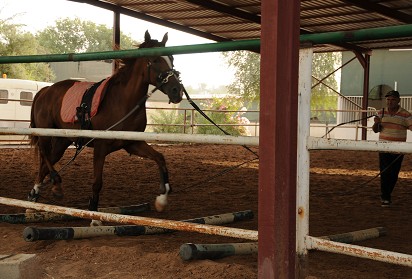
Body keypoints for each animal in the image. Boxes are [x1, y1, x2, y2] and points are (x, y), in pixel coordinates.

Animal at [29, 31, 183, 223]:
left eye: (172, 58)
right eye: (154, 60)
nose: (177, 90)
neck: (122, 101)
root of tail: (45, 91)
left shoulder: (133, 144)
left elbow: (160, 158)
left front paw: (162, 199)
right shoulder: (100, 147)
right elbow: (97, 183)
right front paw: (94, 216)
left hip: (62, 141)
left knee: (45, 164)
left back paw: (34, 197)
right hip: (46, 134)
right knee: (44, 155)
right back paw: (55, 185)